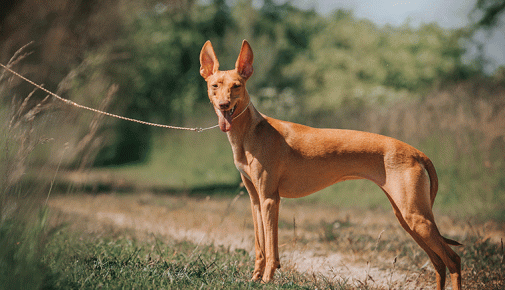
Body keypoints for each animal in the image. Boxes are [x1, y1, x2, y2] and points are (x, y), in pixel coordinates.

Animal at [199, 39, 458, 290]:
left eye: (236, 86)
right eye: (215, 86)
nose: (224, 105)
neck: (251, 132)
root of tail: (416, 152)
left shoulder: (270, 199)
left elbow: (272, 248)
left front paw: (267, 280)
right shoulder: (255, 200)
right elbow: (260, 246)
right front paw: (254, 278)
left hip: (415, 216)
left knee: (453, 259)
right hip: (406, 217)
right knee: (438, 262)